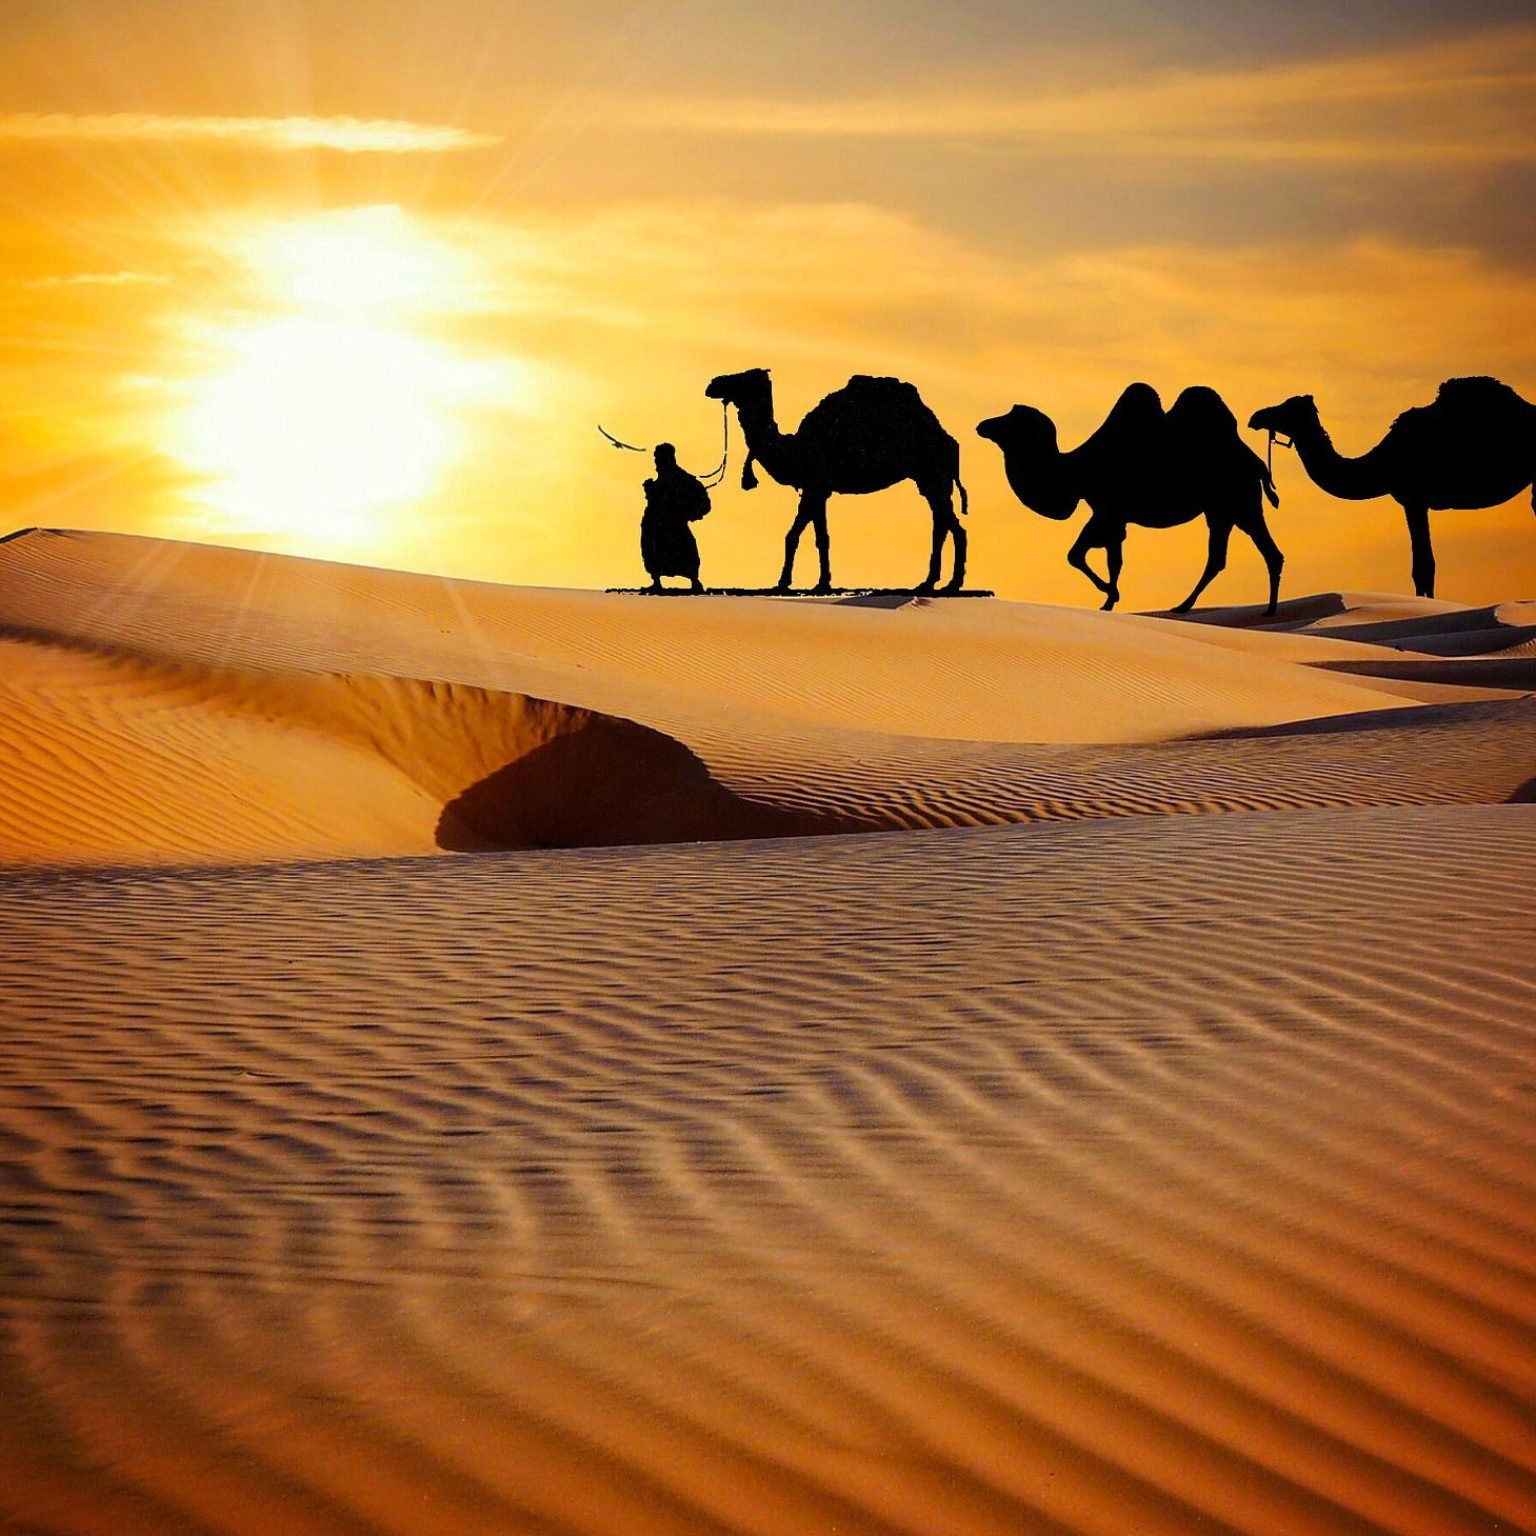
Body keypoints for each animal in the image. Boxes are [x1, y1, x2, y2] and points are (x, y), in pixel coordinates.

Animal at [703, 368, 968, 593]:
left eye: (745, 378)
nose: (713, 384)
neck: (796, 451)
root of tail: (950, 442)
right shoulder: (819, 490)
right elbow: (821, 538)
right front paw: (822, 582)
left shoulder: (815, 486)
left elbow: (793, 535)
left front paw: (783, 582)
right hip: (929, 479)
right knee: (943, 523)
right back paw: (934, 582)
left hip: (934, 474)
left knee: (950, 526)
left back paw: (947, 583)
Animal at [976, 383, 1284, 613]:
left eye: (1011, 419)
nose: (982, 425)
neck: (1076, 470)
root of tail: (1257, 463)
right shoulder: (1114, 516)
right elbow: (1111, 559)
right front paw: (1109, 600)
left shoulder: (1106, 510)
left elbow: (1077, 555)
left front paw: (1110, 594)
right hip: (1222, 510)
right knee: (1225, 557)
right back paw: (1190, 606)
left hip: (1239, 504)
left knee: (1258, 553)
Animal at [1248, 377, 1536, 599]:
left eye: (1287, 408)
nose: (1256, 416)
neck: (1383, 461)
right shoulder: (1414, 500)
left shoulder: (1414, 498)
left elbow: (1423, 567)